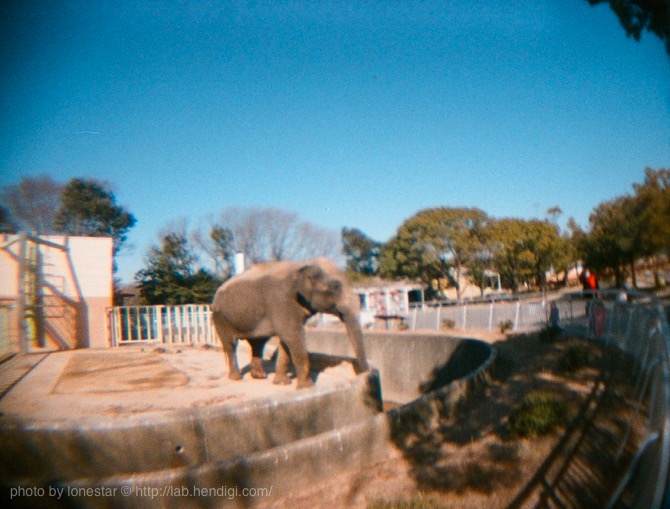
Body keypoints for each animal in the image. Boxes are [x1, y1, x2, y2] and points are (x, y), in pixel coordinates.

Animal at [213, 258, 370, 388]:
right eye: (336, 286)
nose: (366, 374)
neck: (303, 264)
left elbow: (286, 341)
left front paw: (282, 383)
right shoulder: (282, 301)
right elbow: (292, 336)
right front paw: (307, 387)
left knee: (258, 343)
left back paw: (259, 376)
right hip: (220, 317)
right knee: (231, 345)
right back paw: (236, 378)